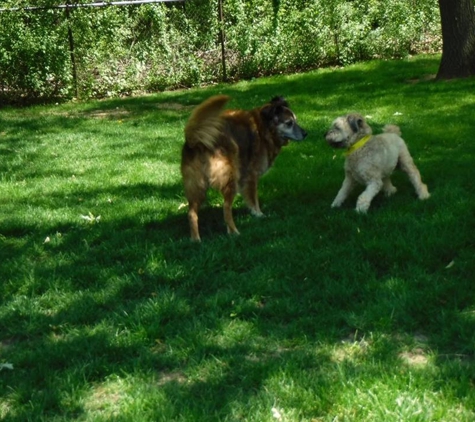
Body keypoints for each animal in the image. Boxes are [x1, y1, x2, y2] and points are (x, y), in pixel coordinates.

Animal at [180, 95, 306, 241]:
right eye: (289, 123)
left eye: (295, 120)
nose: (306, 133)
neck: (264, 127)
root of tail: (197, 140)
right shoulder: (251, 175)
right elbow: (253, 197)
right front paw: (258, 214)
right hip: (230, 179)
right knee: (226, 209)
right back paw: (233, 231)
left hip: (196, 186)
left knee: (191, 213)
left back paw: (196, 239)